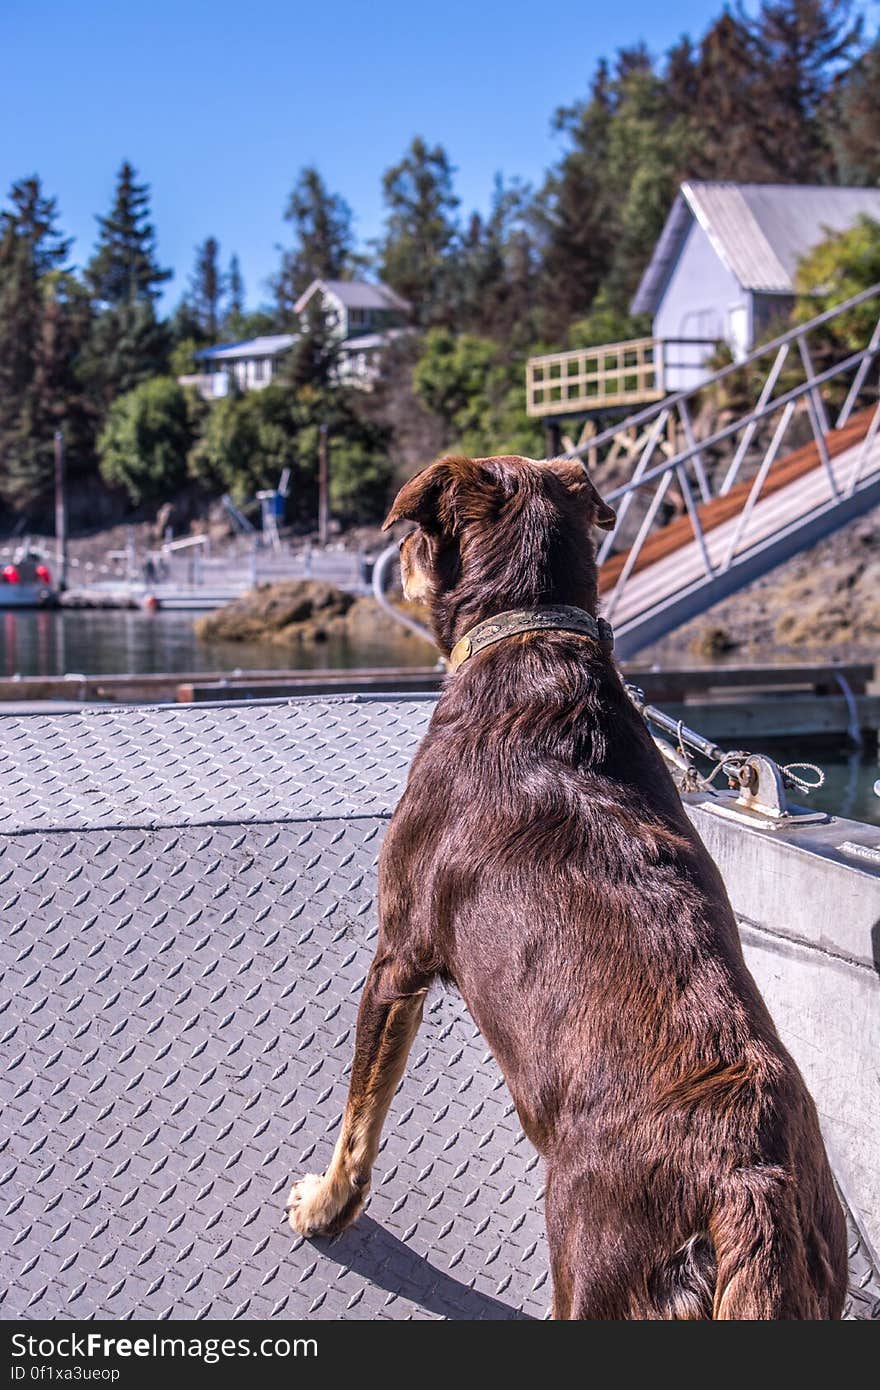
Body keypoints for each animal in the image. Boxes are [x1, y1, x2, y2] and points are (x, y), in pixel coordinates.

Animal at [286, 453, 845, 1312]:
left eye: (416, 530)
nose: (394, 560)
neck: (532, 635)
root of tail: (748, 1183)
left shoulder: (397, 958)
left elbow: (360, 1118)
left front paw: (325, 1207)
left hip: (596, 1270)